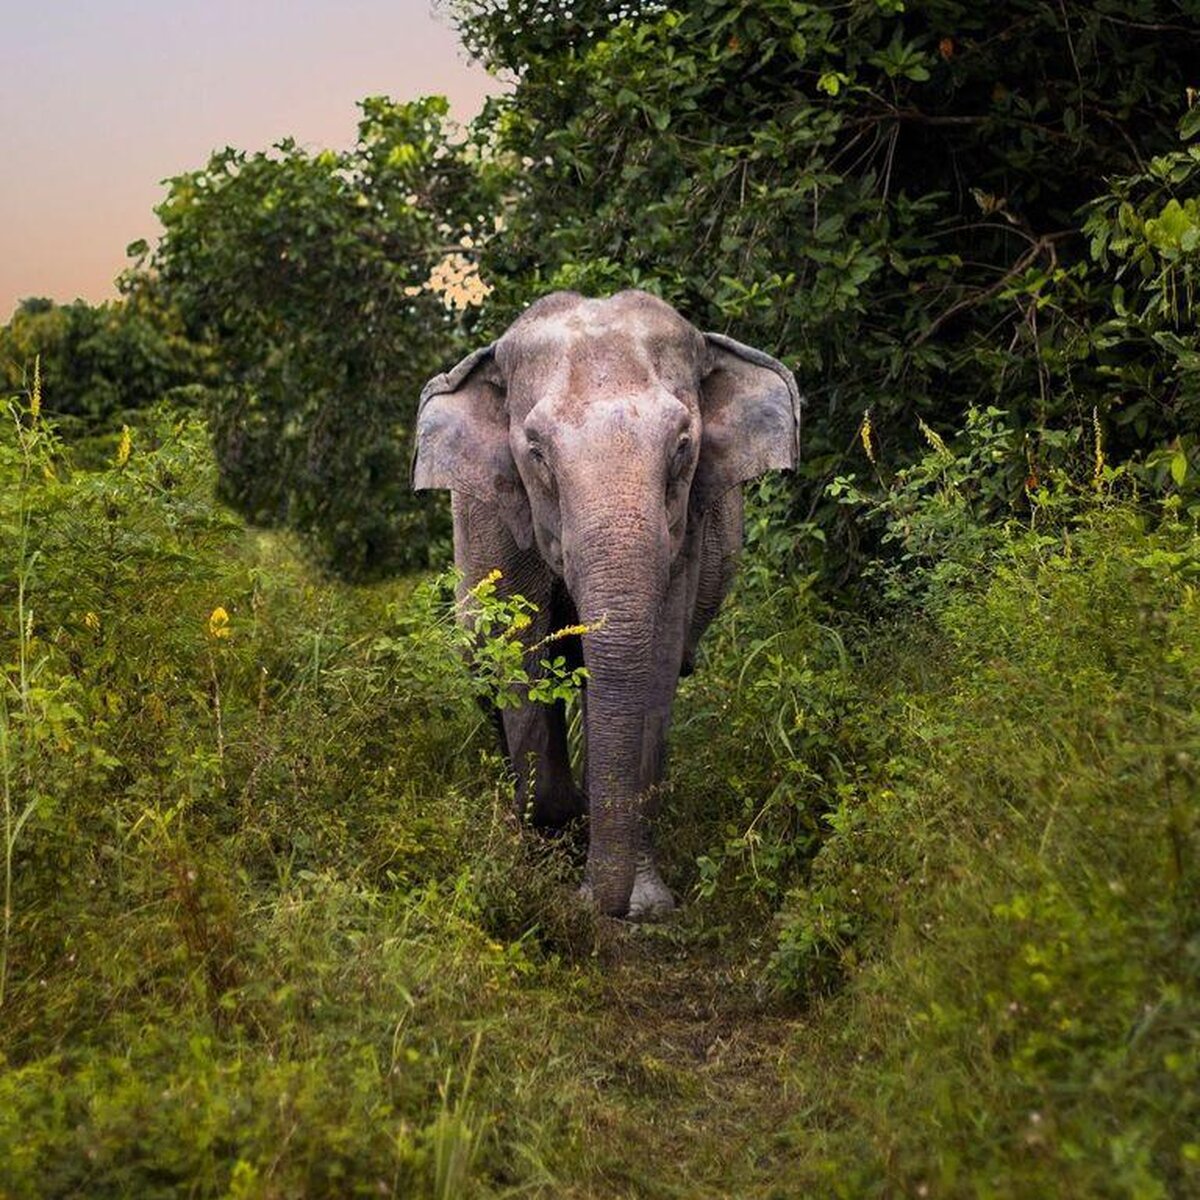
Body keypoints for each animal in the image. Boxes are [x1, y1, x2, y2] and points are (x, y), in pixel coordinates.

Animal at [412, 290, 801, 920]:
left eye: (683, 446)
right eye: (536, 452)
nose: (601, 907)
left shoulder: (684, 533)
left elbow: (656, 666)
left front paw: (642, 905)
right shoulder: (495, 512)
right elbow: (517, 654)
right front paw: (556, 839)